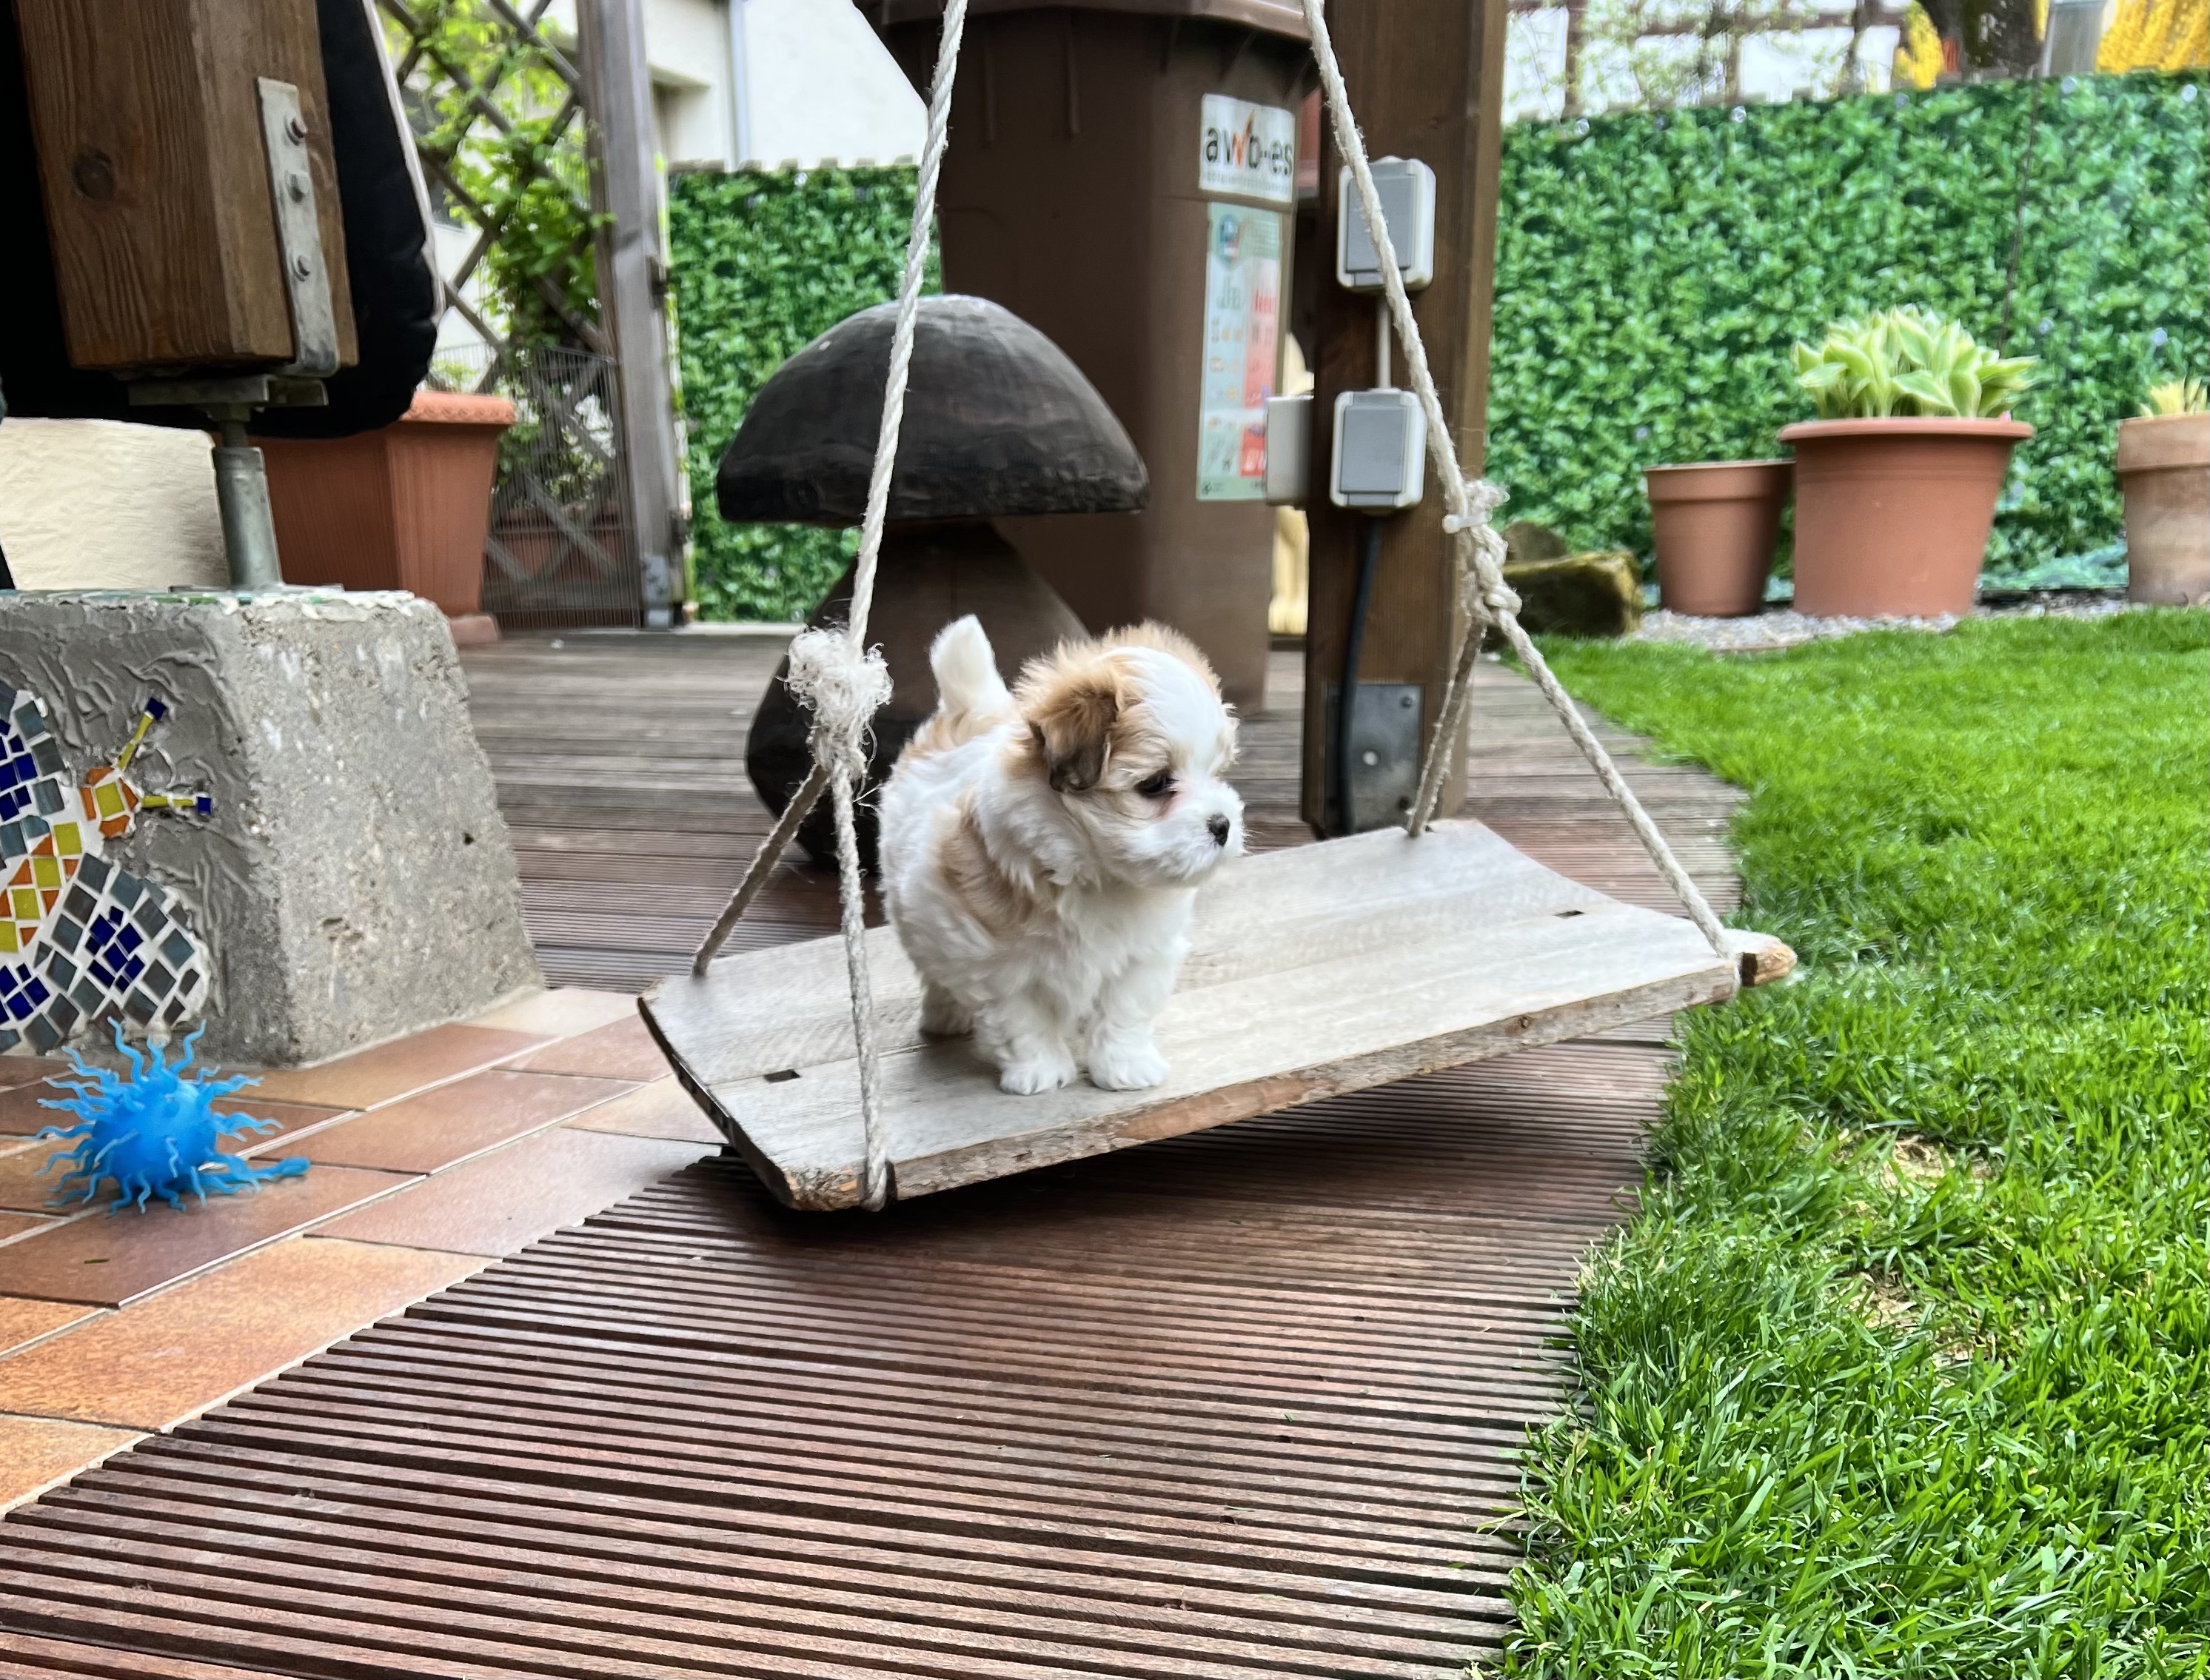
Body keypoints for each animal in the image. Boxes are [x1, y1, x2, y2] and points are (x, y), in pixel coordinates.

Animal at [877, 615, 1244, 1096]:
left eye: (1217, 774)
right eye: (1155, 784)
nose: (1222, 824)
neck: (1096, 876)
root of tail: (969, 713)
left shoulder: (1144, 953)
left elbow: (1124, 1008)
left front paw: (1125, 1065)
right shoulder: (995, 962)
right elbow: (1021, 1019)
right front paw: (1040, 1070)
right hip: (918, 918)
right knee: (934, 969)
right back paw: (945, 1015)